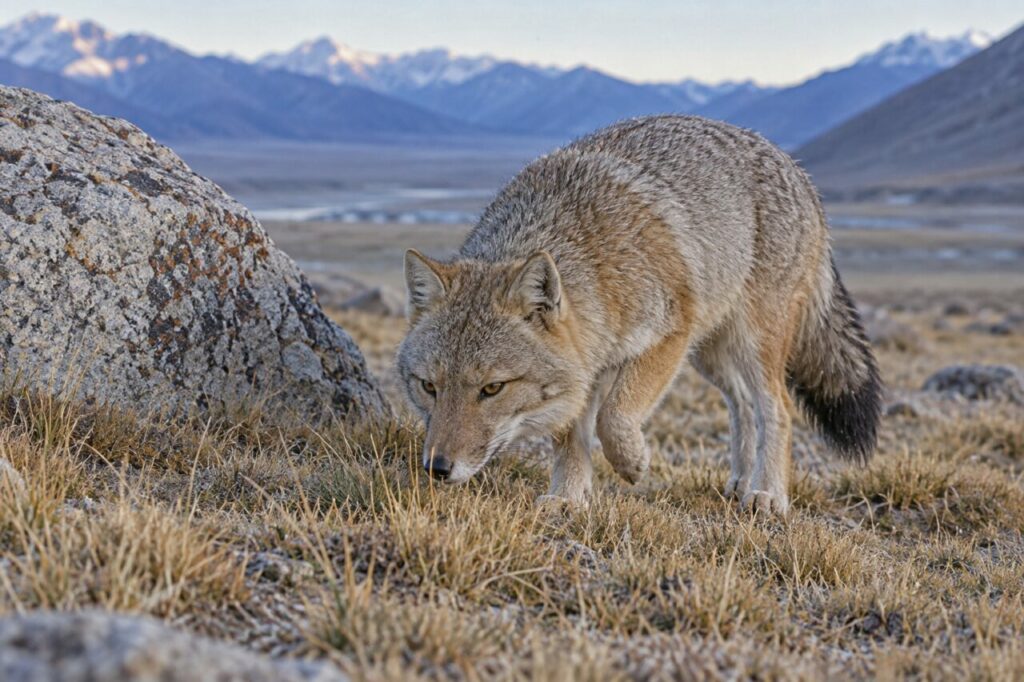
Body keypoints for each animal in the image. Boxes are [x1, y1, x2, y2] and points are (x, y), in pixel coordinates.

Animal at [396, 115, 882, 514]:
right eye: (428, 387)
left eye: (492, 389)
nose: (437, 468)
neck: (592, 260)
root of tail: (798, 169)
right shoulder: (589, 367)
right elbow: (573, 437)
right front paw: (567, 498)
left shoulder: (667, 336)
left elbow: (613, 417)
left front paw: (632, 463)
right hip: (709, 354)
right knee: (743, 405)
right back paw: (741, 483)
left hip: (749, 343)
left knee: (776, 407)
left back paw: (769, 494)